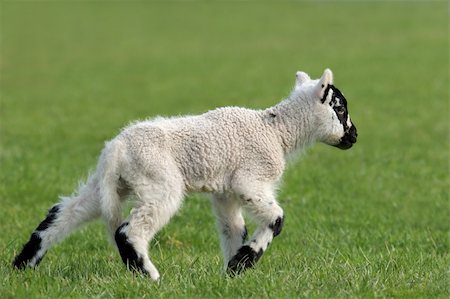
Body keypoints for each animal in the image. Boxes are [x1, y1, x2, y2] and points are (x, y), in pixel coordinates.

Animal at [12, 68, 358, 282]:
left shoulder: (226, 192)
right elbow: (276, 218)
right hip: (159, 182)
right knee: (129, 230)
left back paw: (23, 266)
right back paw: (149, 276)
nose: (354, 137)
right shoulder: (250, 178)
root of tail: (116, 151)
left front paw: (232, 271)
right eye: (340, 108)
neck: (277, 131)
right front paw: (244, 261)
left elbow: (234, 229)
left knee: (62, 214)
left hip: (107, 186)